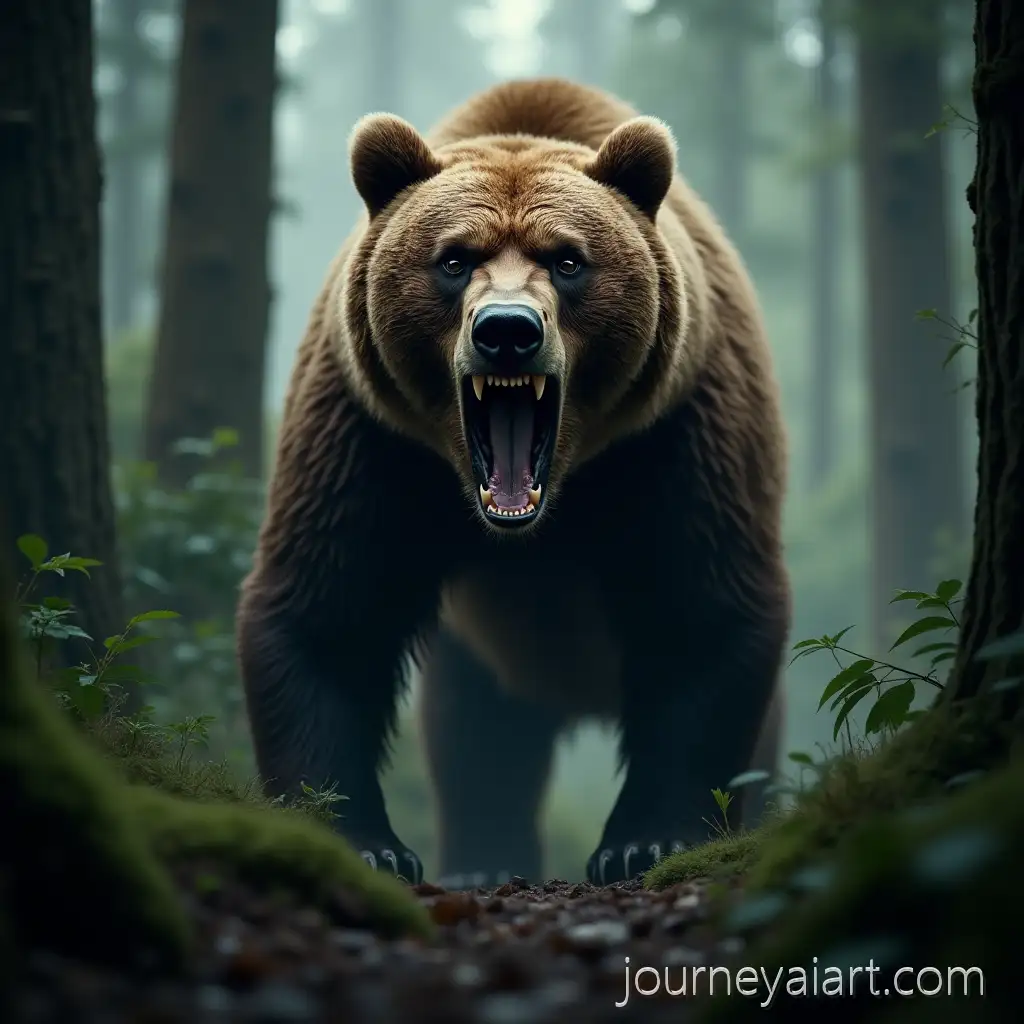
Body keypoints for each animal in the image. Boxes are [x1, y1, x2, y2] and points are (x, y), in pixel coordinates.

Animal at [236, 77, 791, 888]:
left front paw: (646, 841)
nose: (506, 329)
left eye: (567, 260)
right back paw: (482, 862)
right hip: (483, 651)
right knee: (479, 741)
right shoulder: (371, 439)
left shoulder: (680, 430)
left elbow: (701, 611)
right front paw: (362, 839)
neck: (551, 498)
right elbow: (328, 610)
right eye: (454, 259)